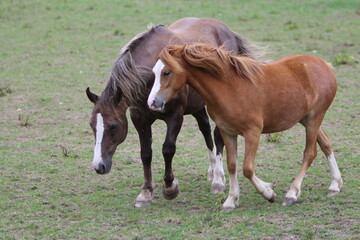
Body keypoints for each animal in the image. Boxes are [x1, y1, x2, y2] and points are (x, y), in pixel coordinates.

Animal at [86, 17, 258, 207]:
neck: (153, 76)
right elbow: (146, 153)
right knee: (205, 130)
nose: (98, 166)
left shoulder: (175, 116)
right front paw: (146, 192)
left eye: (113, 126)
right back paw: (212, 171)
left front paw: (170, 187)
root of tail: (228, 31)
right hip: (198, 106)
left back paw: (218, 180)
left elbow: (168, 149)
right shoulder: (140, 119)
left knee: (217, 135)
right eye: (92, 126)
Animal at [147, 44, 344, 209]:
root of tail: (326, 66)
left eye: (166, 72)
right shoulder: (227, 132)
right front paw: (231, 200)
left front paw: (268, 193)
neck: (230, 88)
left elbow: (247, 168)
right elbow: (232, 165)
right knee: (326, 143)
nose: (152, 102)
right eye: (155, 72)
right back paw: (335, 184)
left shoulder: (252, 133)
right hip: (306, 119)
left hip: (314, 119)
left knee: (309, 153)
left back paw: (292, 194)